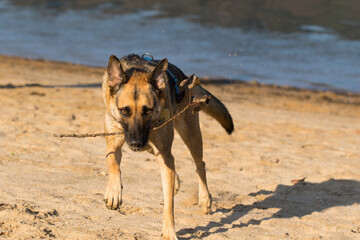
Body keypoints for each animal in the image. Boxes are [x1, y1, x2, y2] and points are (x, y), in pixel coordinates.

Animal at [102, 53, 233, 239]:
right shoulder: (114, 143)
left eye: (147, 110)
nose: (135, 143)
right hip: (156, 146)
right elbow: (113, 164)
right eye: (124, 110)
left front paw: (169, 232)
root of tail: (186, 79)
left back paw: (204, 197)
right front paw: (113, 191)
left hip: (190, 135)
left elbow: (169, 204)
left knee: (199, 164)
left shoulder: (163, 151)